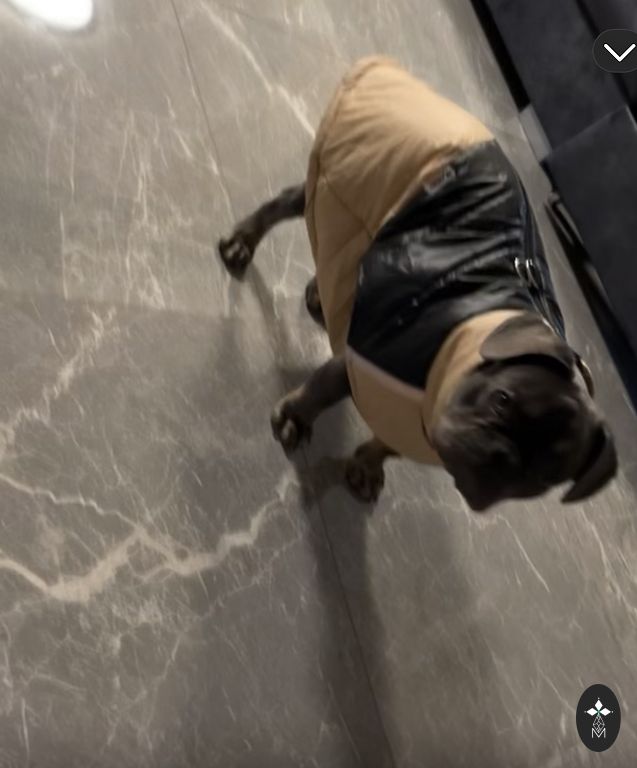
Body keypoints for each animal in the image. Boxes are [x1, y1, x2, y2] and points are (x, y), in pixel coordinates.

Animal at [218, 57, 617, 511]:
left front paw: (368, 464)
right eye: (501, 401)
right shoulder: (361, 361)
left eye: (545, 478)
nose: (500, 459)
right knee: (285, 204)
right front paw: (295, 417)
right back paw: (243, 242)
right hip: (347, 187)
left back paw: (321, 294)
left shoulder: (416, 425)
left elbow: (389, 445)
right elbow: (321, 389)